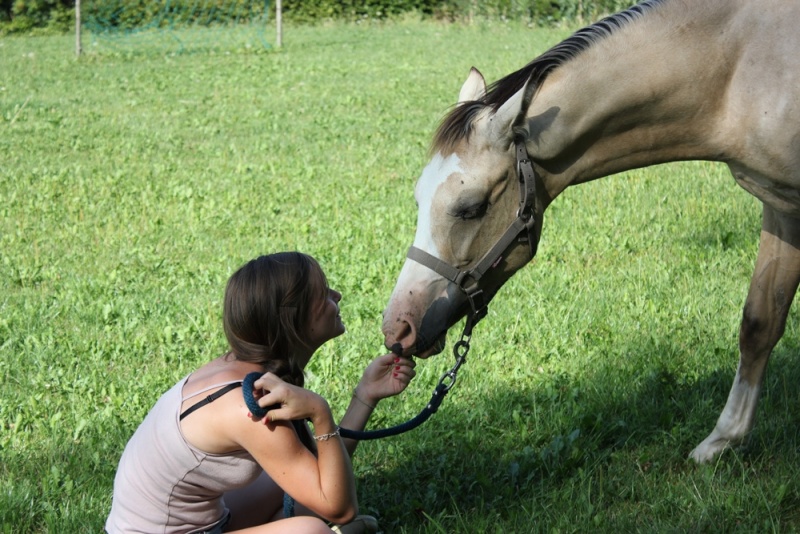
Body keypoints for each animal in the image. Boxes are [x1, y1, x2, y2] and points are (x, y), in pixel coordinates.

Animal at [380, 0, 800, 462]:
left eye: (472, 208)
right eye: (418, 199)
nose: (397, 329)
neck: (741, 68)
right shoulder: (779, 206)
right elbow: (760, 322)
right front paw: (722, 441)